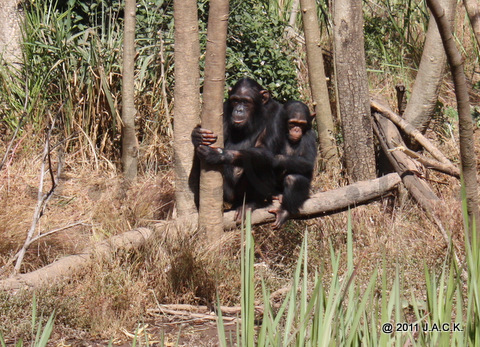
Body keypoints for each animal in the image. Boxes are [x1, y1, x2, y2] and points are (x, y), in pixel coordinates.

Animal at [190, 78, 284, 218]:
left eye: (245, 101)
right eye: (235, 100)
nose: (239, 110)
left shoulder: (277, 114)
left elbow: (265, 150)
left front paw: (220, 155)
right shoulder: (224, 108)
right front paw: (197, 135)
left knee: (261, 161)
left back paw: (253, 203)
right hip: (228, 193)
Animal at [268, 100, 316, 230]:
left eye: (301, 124)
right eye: (292, 123)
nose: (296, 129)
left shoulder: (310, 135)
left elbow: (307, 160)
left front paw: (276, 159)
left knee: (293, 179)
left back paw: (283, 212)